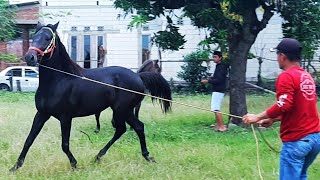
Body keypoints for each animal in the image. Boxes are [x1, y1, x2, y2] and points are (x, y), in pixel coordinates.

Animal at [8, 22, 171, 172]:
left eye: (48, 38)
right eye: (35, 36)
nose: (30, 57)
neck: (59, 80)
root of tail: (138, 76)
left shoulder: (65, 117)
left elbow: (64, 145)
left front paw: (75, 165)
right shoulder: (42, 114)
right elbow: (29, 140)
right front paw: (15, 167)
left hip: (121, 110)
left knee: (125, 129)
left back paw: (105, 156)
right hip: (125, 111)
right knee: (135, 127)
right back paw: (140, 156)